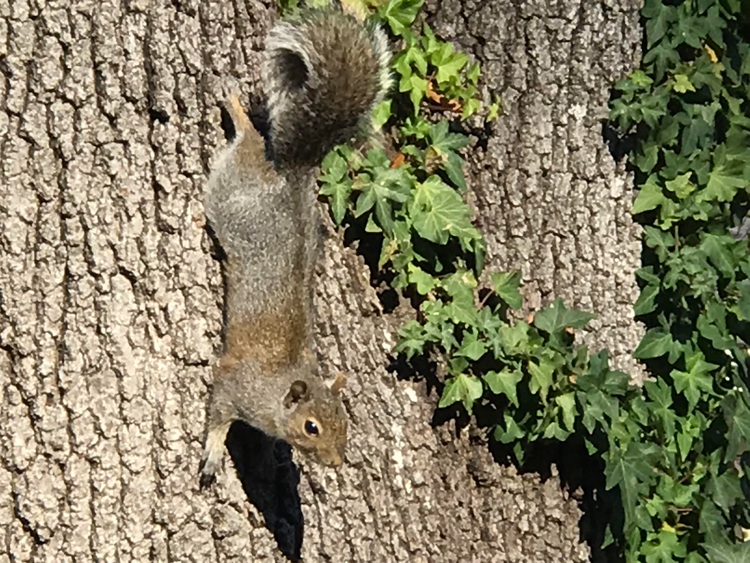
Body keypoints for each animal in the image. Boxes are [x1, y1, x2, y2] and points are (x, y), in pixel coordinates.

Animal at [203, 4, 394, 486]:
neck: (276, 392)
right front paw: (212, 454)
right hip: (231, 190)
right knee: (249, 139)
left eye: (344, 421)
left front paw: (271, 457)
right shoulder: (234, 381)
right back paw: (235, 107)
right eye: (311, 426)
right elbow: (217, 413)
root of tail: (290, 174)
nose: (336, 462)